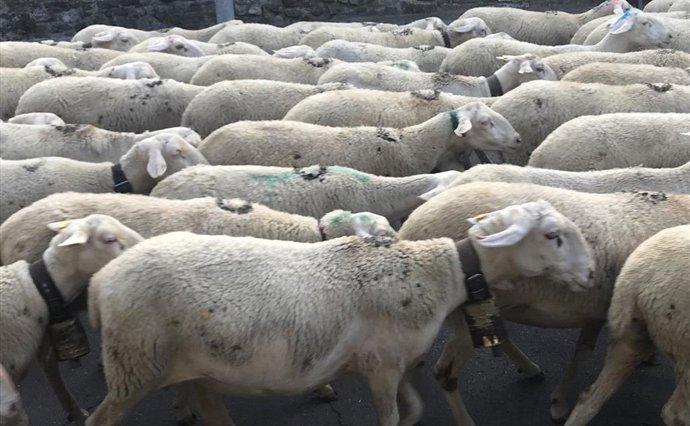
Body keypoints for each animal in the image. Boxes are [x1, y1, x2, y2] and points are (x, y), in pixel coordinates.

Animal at [84, 200, 595, 426]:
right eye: (553, 236)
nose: (592, 273)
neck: (439, 272)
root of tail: (98, 284)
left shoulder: (398, 363)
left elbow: (414, 410)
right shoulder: (382, 367)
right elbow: (392, 419)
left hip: (193, 370)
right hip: (134, 367)